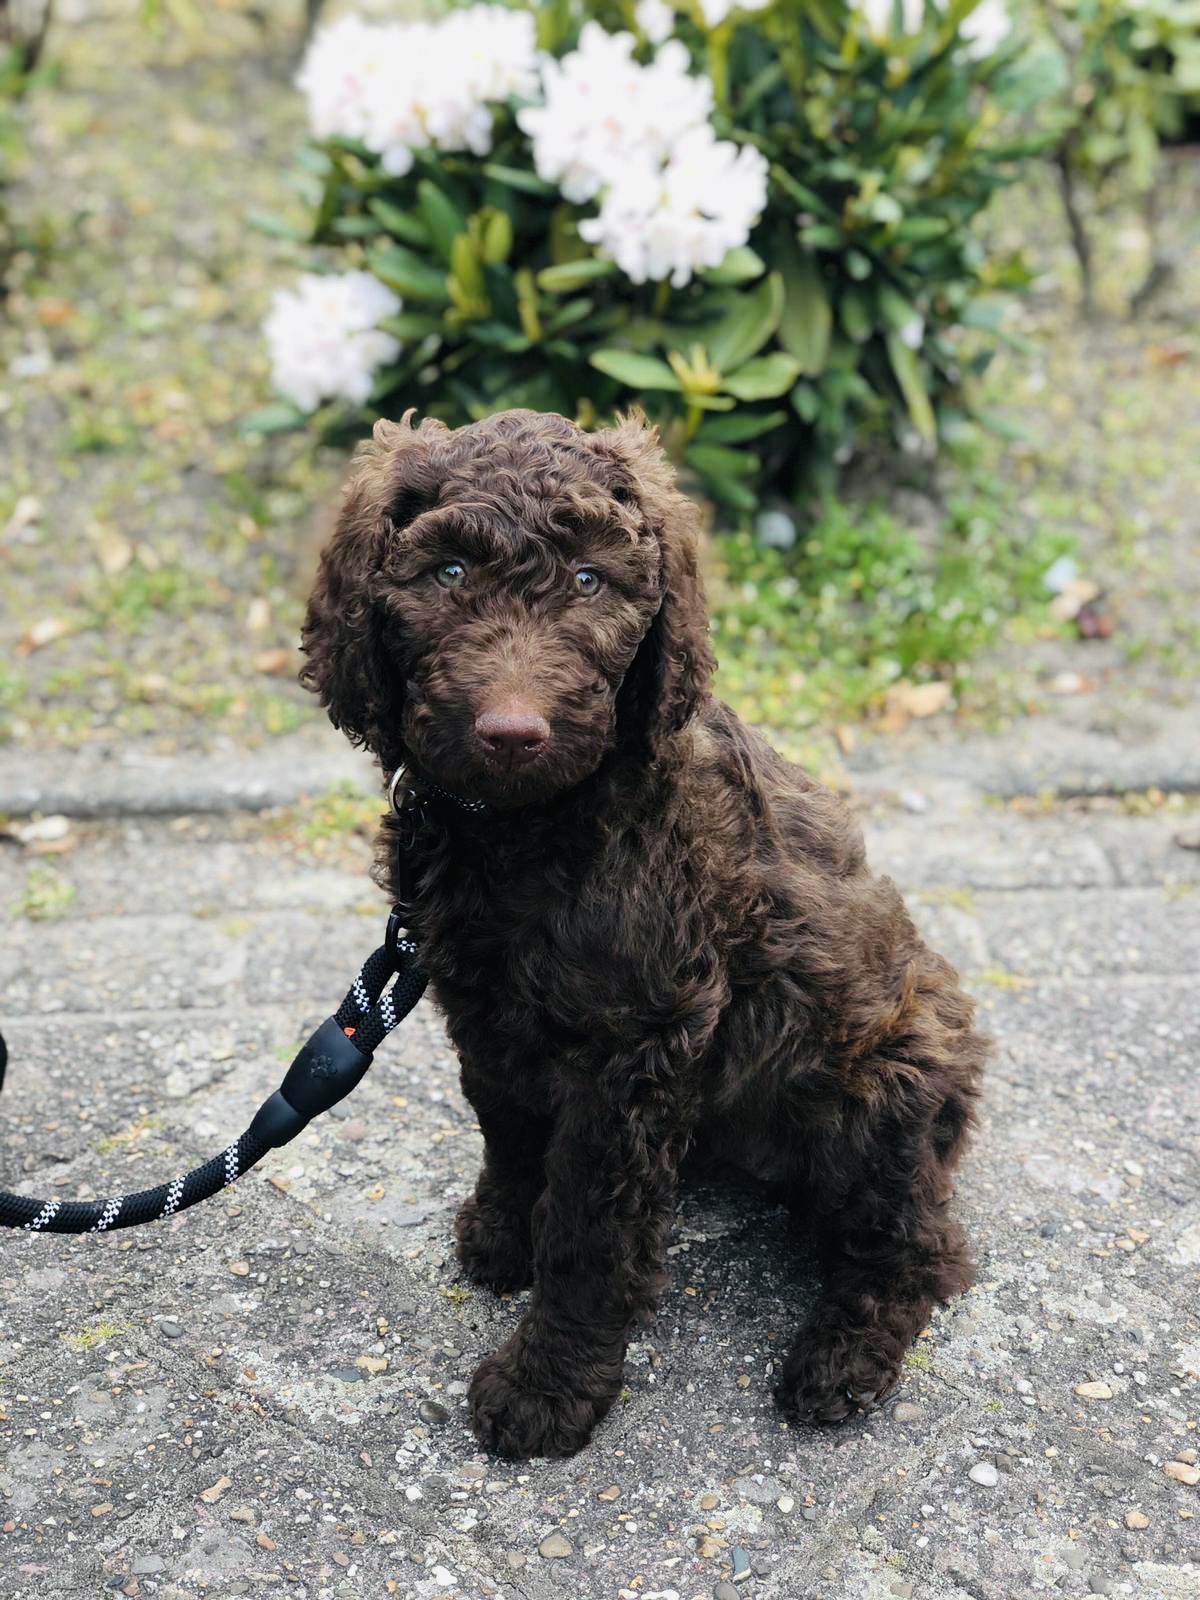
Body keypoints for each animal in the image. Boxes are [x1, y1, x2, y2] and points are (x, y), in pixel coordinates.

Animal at [300, 406, 985, 1459]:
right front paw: (504, 1232)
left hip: (883, 1082)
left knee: (916, 1245)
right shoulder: (484, 1005)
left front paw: (549, 1384)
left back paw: (841, 1361)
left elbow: (591, 1226)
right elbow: (509, 1127)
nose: (511, 733)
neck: (527, 829)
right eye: (447, 573)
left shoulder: (637, 1036)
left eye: (589, 581)